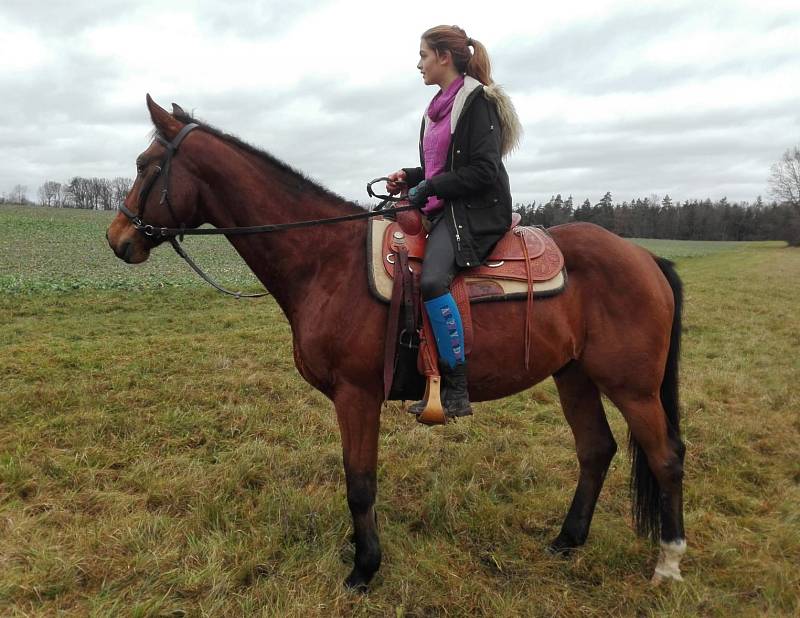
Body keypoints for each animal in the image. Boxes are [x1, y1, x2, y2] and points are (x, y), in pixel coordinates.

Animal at [108, 95, 688, 588]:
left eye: (143, 164)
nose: (117, 239)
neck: (326, 259)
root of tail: (645, 258)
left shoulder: (357, 394)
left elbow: (360, 483)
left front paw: (364, 568)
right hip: (575, 376)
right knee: (596, 450)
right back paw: (567, 541)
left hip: (633, 387)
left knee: (665, 457)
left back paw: (668, 562)